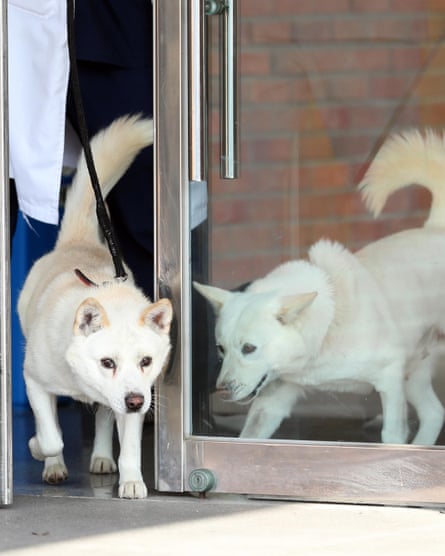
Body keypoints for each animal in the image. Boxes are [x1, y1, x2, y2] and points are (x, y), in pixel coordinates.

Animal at [197, 129, 445, 444]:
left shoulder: (390, 378)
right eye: (221, 348)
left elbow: (391, 435)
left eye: (249, 348)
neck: (327, 326)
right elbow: (250, 436)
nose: (221, 390)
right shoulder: (274, 398)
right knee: (434, 413)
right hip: (414, 375)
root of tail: (434, 228)